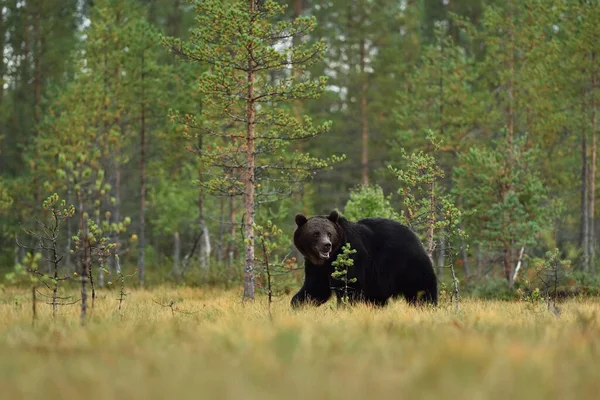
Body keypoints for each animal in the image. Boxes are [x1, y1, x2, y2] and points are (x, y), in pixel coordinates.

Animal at [290, 211, 436, 308]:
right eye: (315, 233)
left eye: (329, 233)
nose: (326, 245)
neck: (330, 258)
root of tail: (415, 235)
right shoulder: (316, 266)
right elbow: (316, 288)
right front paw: (297, 303)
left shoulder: (353, 255)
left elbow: (350, 285)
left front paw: (345, 307)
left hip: (408, 263)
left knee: (422, 288)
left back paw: (427, 305)